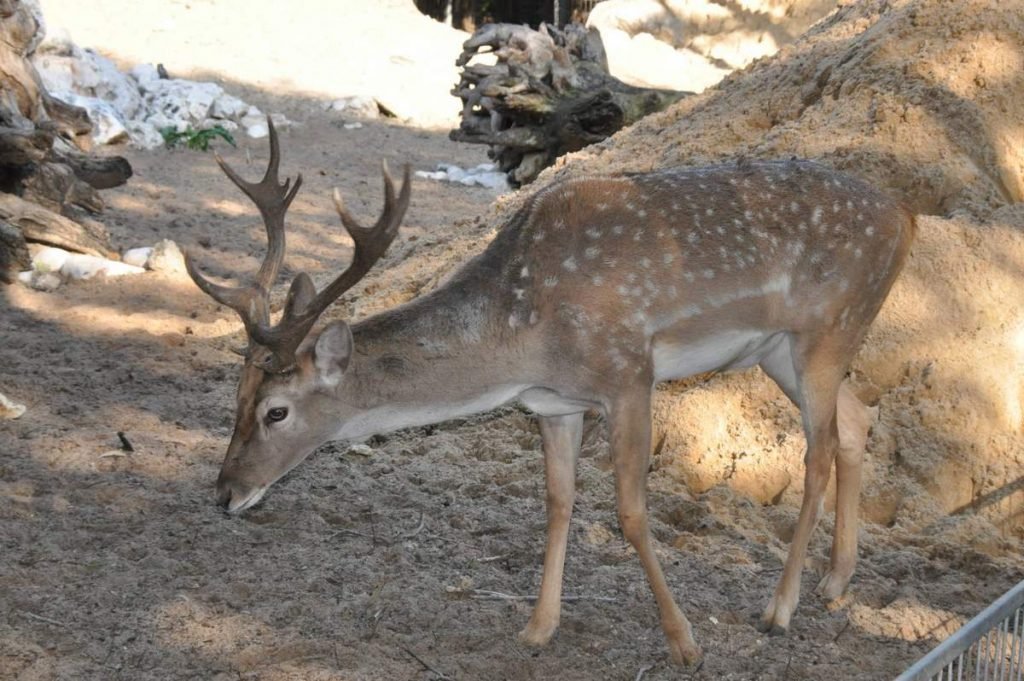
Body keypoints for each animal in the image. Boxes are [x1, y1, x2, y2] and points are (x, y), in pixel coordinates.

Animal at [188, 118, 917, 663]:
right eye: (234, 397)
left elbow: (629, 511)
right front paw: (538, 628)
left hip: (826, 330)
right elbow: (558, 501)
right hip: (781, 353)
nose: (224, 492)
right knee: (855, 422)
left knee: (818, 450)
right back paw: (835, 582)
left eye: (276, 411)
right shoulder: (554, 404)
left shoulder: (628, 372)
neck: (525, 340)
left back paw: (779, 608)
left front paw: (683, 641)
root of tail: (905, 218)